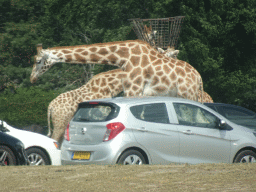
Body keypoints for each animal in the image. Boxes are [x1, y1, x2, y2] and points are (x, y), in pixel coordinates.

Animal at [30, 39, 204, 101]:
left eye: (38, 61)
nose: (32, 78)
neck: (123, 57)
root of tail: (199, 78)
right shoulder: (132, 91)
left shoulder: (133, 90)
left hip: (186, 93)